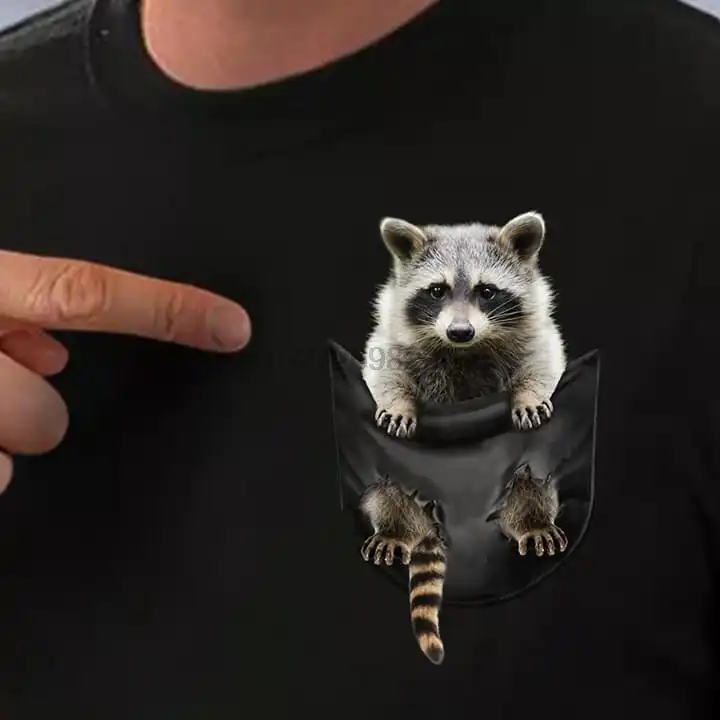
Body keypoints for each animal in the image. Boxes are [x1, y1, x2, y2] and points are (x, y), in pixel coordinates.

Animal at [362, 211, 567, 439]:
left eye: (487, 291)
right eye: (437, 291)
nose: (460, 332)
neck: (463, 350)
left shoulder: (535, 333)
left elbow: (541, 363)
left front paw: (529, 395)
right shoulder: (392, 335)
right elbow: (386, 372)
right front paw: (398, 404)